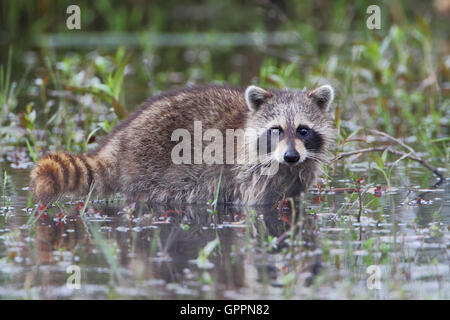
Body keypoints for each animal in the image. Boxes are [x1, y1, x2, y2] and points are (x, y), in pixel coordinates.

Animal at [30, 84, 334, 205]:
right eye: (276, 130)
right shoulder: (248, 174)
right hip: (151, 166)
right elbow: (255, 205)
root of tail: (120, 140)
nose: (292, 156)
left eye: (303, 130)